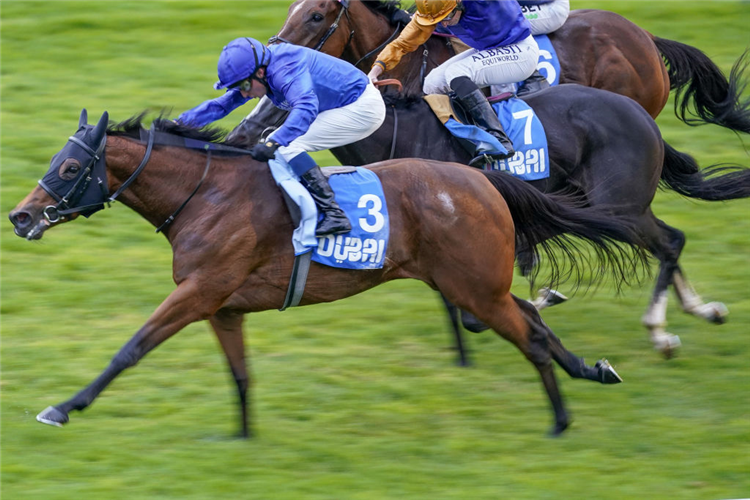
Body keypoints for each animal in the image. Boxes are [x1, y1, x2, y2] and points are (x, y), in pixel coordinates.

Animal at [7, 111, 652, 436]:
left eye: (69, 167)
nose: (20, 216)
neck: (204, 195)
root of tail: (481, 177)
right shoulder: (223, 305)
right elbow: (240, 376)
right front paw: (242, 438)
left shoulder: (198, 292)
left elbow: (131, 348)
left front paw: (63, 407)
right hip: (475, 284)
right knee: (534, 323)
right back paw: (592, 371)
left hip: (475, 288)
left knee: (530, 339)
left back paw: (561, 420)